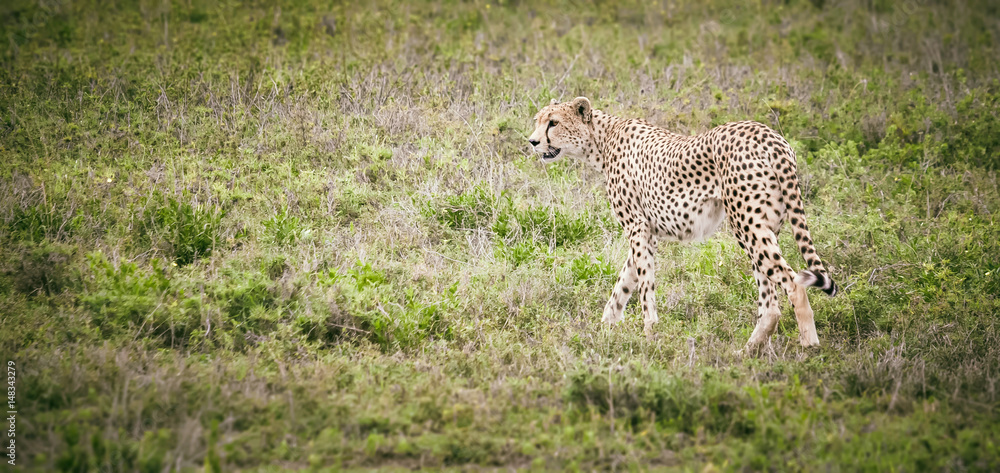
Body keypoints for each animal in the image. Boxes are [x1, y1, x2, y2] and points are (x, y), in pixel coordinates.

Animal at [527, 97, 837, 354]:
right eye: (538, 120)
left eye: (553, 122)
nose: (532, 141)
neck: (602, 139)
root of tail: (769, 135)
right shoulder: (647, 232)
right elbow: (626, 280)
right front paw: (607, 325)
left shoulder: (637, 227)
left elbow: (644, 285)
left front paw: (649, 333)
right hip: (765, 225)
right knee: (771, 300)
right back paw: (748, 350)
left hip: (746, 223)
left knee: (793, 282)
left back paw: (809, 345)